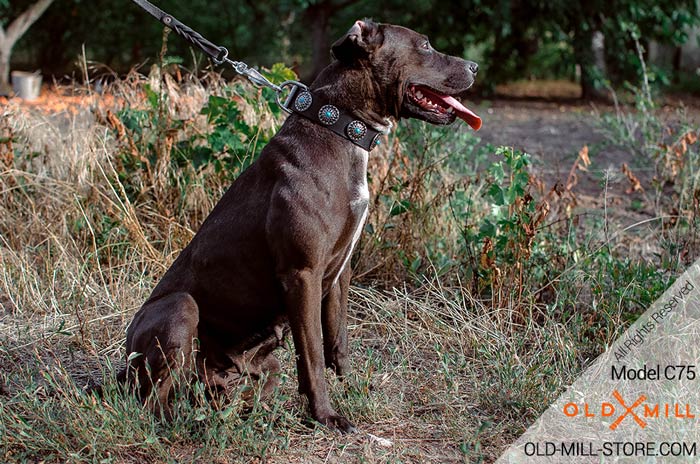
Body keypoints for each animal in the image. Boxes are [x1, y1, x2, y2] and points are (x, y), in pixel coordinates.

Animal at [120, 17, 482, 432]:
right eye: (424, 45)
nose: (474, 67)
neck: (340, 127)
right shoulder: (302, 274)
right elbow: (312, 356)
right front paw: (326, 415)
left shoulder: (339, 272)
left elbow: (337, 340)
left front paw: (353, 389)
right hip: (179, 309)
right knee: (153, 401)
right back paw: (185, 423)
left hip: (253, 368)